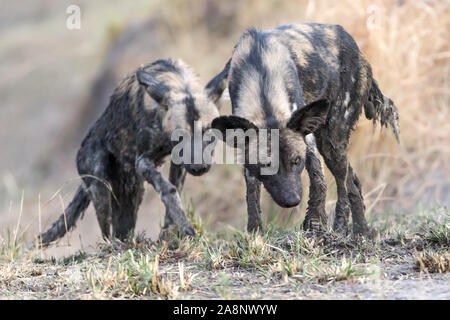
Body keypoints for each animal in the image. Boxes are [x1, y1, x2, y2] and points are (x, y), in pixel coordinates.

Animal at [39, 58, 219, 246]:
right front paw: (186, 228)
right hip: (101, 190)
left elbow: (173, 194)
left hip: (131, 196)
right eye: (180, 137)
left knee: (122, 230)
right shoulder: (143, 162)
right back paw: (113, 246)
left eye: (210, 135)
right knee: (106, 233)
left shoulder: (179, 162)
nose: (199, 168)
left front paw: (169, 233)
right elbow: (168, 189)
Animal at [206, 23, 400, 238]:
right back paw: (359, 229)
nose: (292, 200)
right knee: (353, 182)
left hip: (331, 141)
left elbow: (318, 181)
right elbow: (252, 194)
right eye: (266, 165)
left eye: (297, 161)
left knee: (344, 185)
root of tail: (357, 49)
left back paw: (350, 229)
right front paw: (255, 233)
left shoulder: (306, 136)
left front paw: (315, 222)